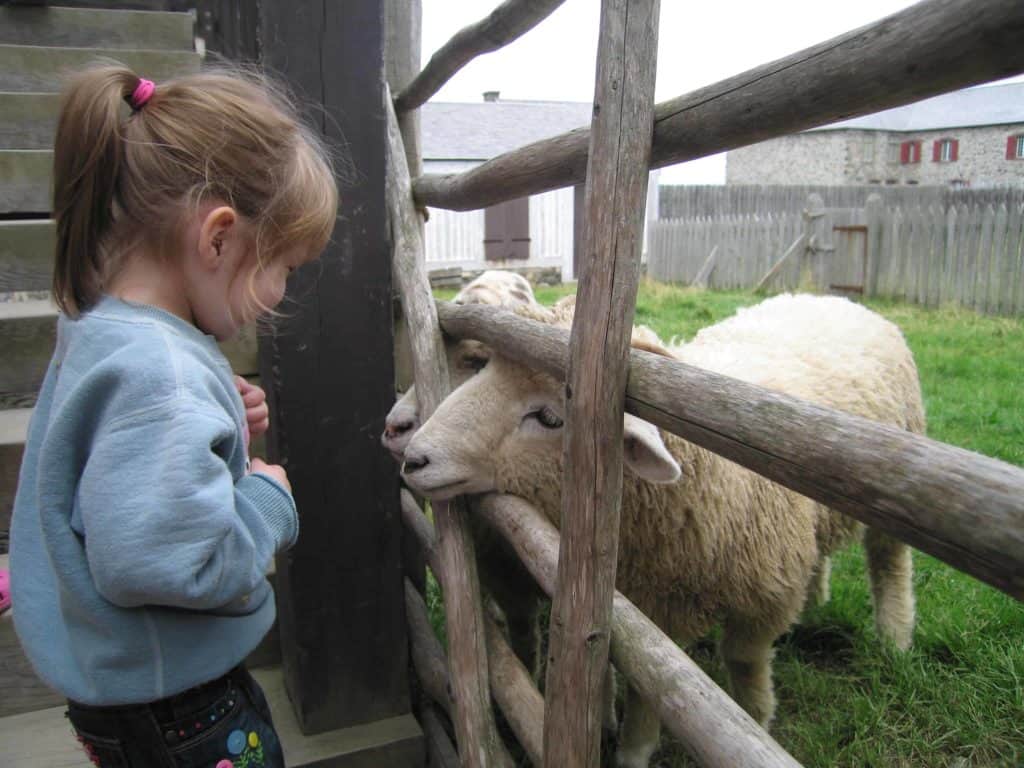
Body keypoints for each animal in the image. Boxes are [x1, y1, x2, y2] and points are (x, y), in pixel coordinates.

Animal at [403, 294, 925, 768]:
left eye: (550, 417)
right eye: (485, 368)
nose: (414, 457)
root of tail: (836, 297)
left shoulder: (764, 595)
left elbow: (742, 661)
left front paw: (754, 721)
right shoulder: (643, 606)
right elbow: (641, 680)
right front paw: (629, 744)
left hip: (896, 486)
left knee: (889, 560)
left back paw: (894, 639)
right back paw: (820, 594)